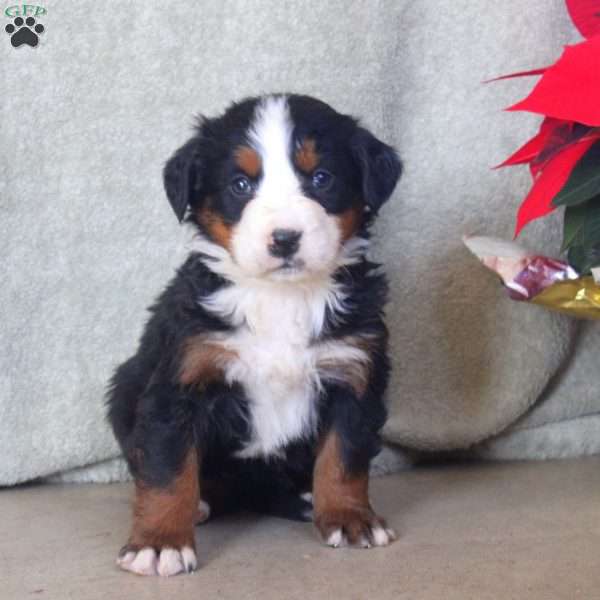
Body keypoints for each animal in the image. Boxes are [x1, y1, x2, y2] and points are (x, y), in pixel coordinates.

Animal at [106, 94, 404, 576]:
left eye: (321, 178)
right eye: (241, 185)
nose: (284, 239)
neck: (280, 298)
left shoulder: (353, 372)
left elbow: (345, 457)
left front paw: (349, 518)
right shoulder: (181, 381)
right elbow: (168, 469)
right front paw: (160, 542)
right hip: (125, 386)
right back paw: (201, 505)